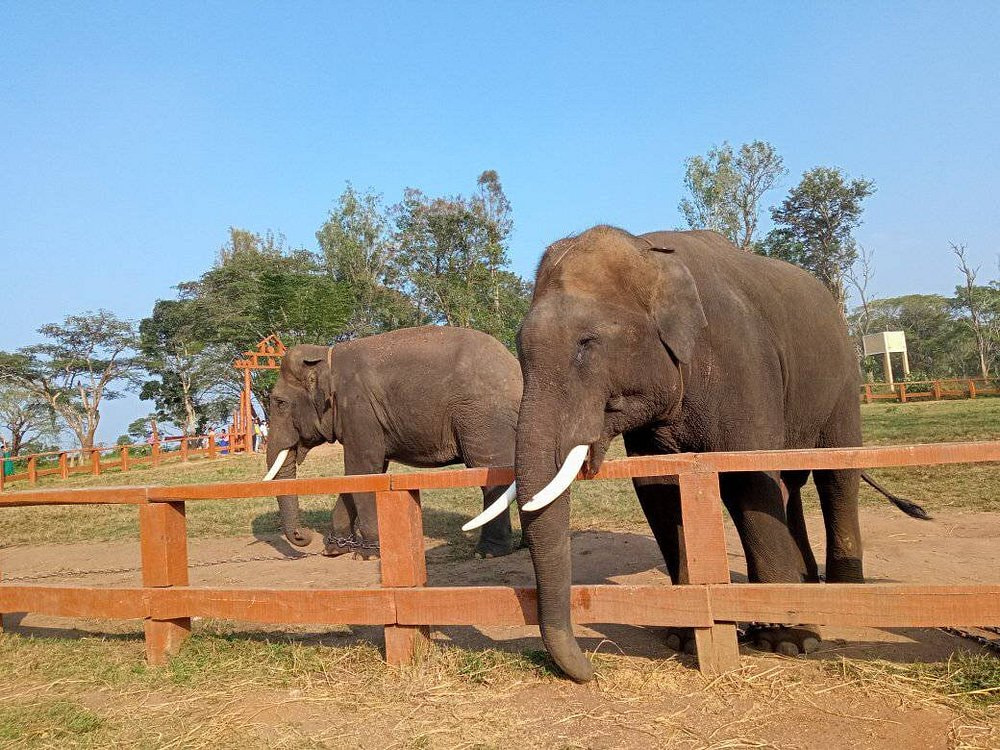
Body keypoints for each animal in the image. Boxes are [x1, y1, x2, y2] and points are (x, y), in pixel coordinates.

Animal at [262, 325, 522, 559]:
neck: (326, 355)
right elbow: (358, 474)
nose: (302, 536)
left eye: (280, 403)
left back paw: (487, 553)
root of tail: (515, 369)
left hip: (482, 417)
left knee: (489, 472)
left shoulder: (358, 408)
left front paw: (368, 555)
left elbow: (364, 470)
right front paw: (335, 550)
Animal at [466, 225, 926, 682]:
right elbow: (660, 490)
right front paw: (686, 637)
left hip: (843, 379)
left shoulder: (743, 362)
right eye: (520, 350)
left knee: (836, 474)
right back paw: (806, 585)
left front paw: (789, 641)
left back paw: (842, 592)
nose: (592, 670)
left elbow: (749, 479)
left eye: (586, 343)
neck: (647, 250)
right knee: (790, 483)